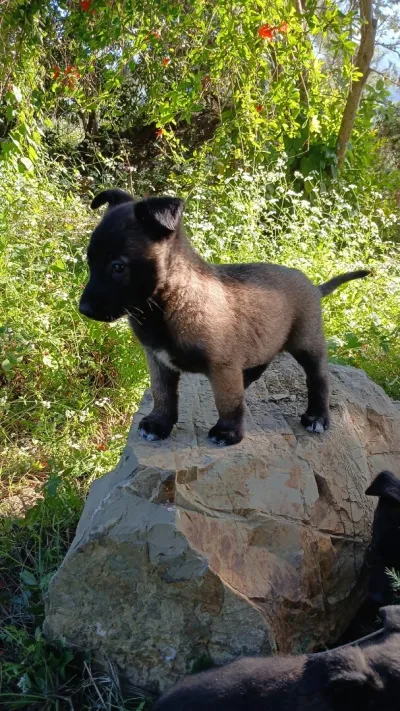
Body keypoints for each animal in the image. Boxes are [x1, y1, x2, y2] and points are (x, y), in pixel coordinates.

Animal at [79, 188, 369, 446]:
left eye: (118, 267)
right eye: (90, 262)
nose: (84, 309)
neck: (170, 301)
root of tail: (314, 286)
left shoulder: (222, 366)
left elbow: (227, 401)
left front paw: (227, 432)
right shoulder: (158, 361)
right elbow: (163, 394)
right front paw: (159, 424)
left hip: (307, 343)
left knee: (318, 378)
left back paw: (317, 416)